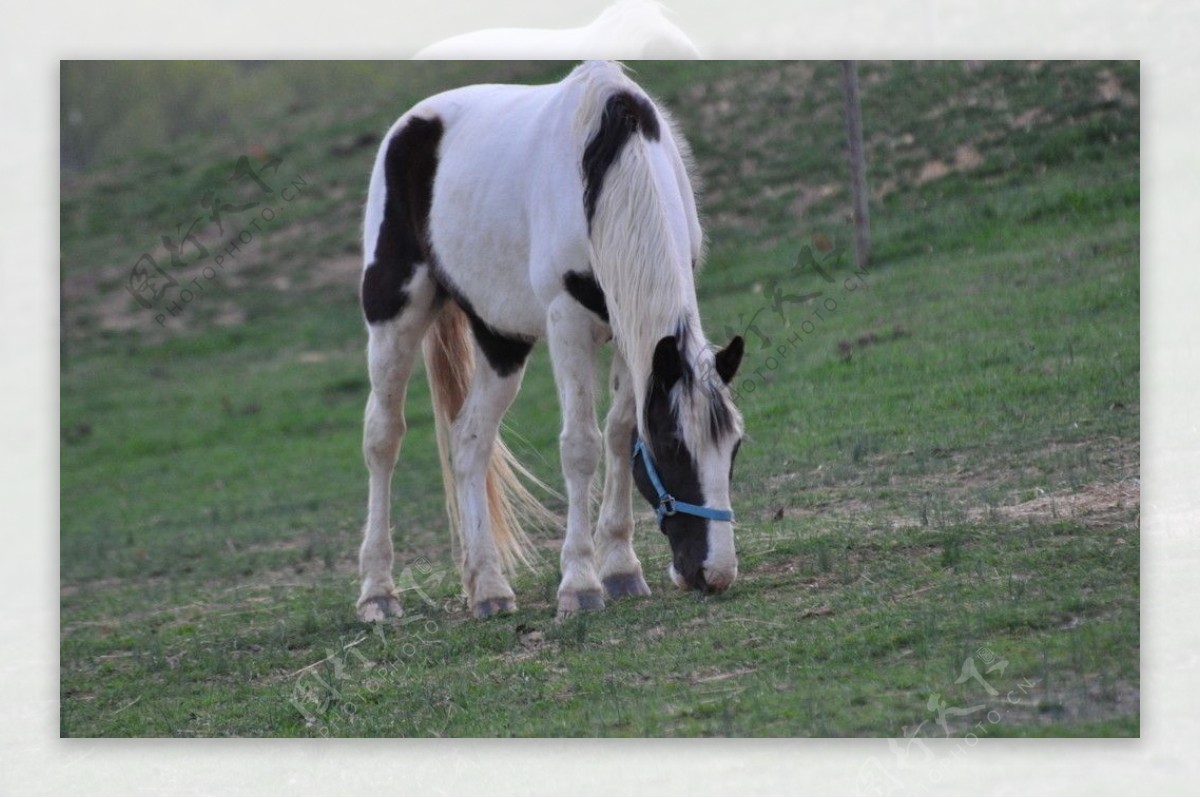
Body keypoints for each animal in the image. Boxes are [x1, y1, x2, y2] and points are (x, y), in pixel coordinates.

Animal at [355, 62, 744, 624]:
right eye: (674, 446)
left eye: (734, 445)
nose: (714, 574)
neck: (606, 166)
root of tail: (409, 125)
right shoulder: (568, 324)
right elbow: (580, 446)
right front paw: (580, 583)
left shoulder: (634, 338)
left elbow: (619, 434)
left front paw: (621, 568)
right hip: (394, 316)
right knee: (383, 437)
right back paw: (377, 592)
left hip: (502, 340)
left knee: (469, 440)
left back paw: (488, 587)